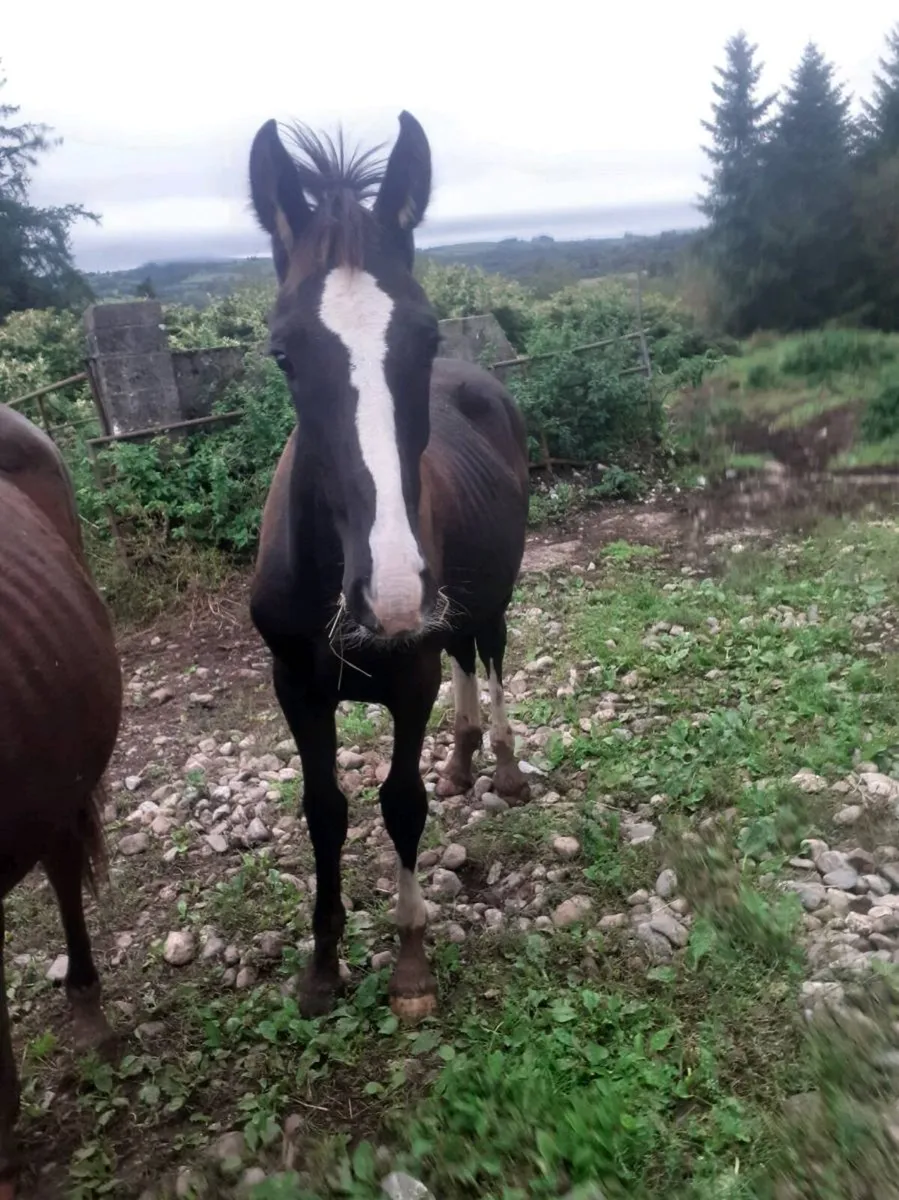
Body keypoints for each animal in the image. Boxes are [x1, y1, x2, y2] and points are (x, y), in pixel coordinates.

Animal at [248, 111, 531, 1022]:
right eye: (283, 352)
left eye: (426, 334)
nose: (394, 595)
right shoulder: (295, 686)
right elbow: (324, 810)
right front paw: (322, 965)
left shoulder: (408, 678)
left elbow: (400, 806)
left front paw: (409, 962)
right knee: (465, 658)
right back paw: (464, 760)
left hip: (488, 600)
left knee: (489, 656)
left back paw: (501, 765)